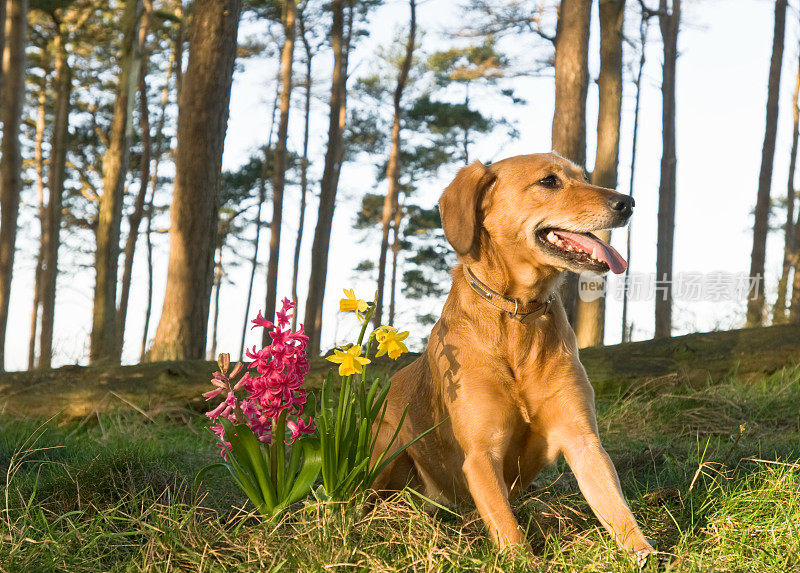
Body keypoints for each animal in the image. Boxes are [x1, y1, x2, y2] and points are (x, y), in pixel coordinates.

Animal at [374, 152, 656, 560]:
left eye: (585, 177)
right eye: (549, 181)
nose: (628, 202)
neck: (518, 316)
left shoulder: (582, 438)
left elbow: (616, 508)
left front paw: (646, 553)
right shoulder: (481, 453)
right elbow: (508, 530)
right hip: (384, 456)